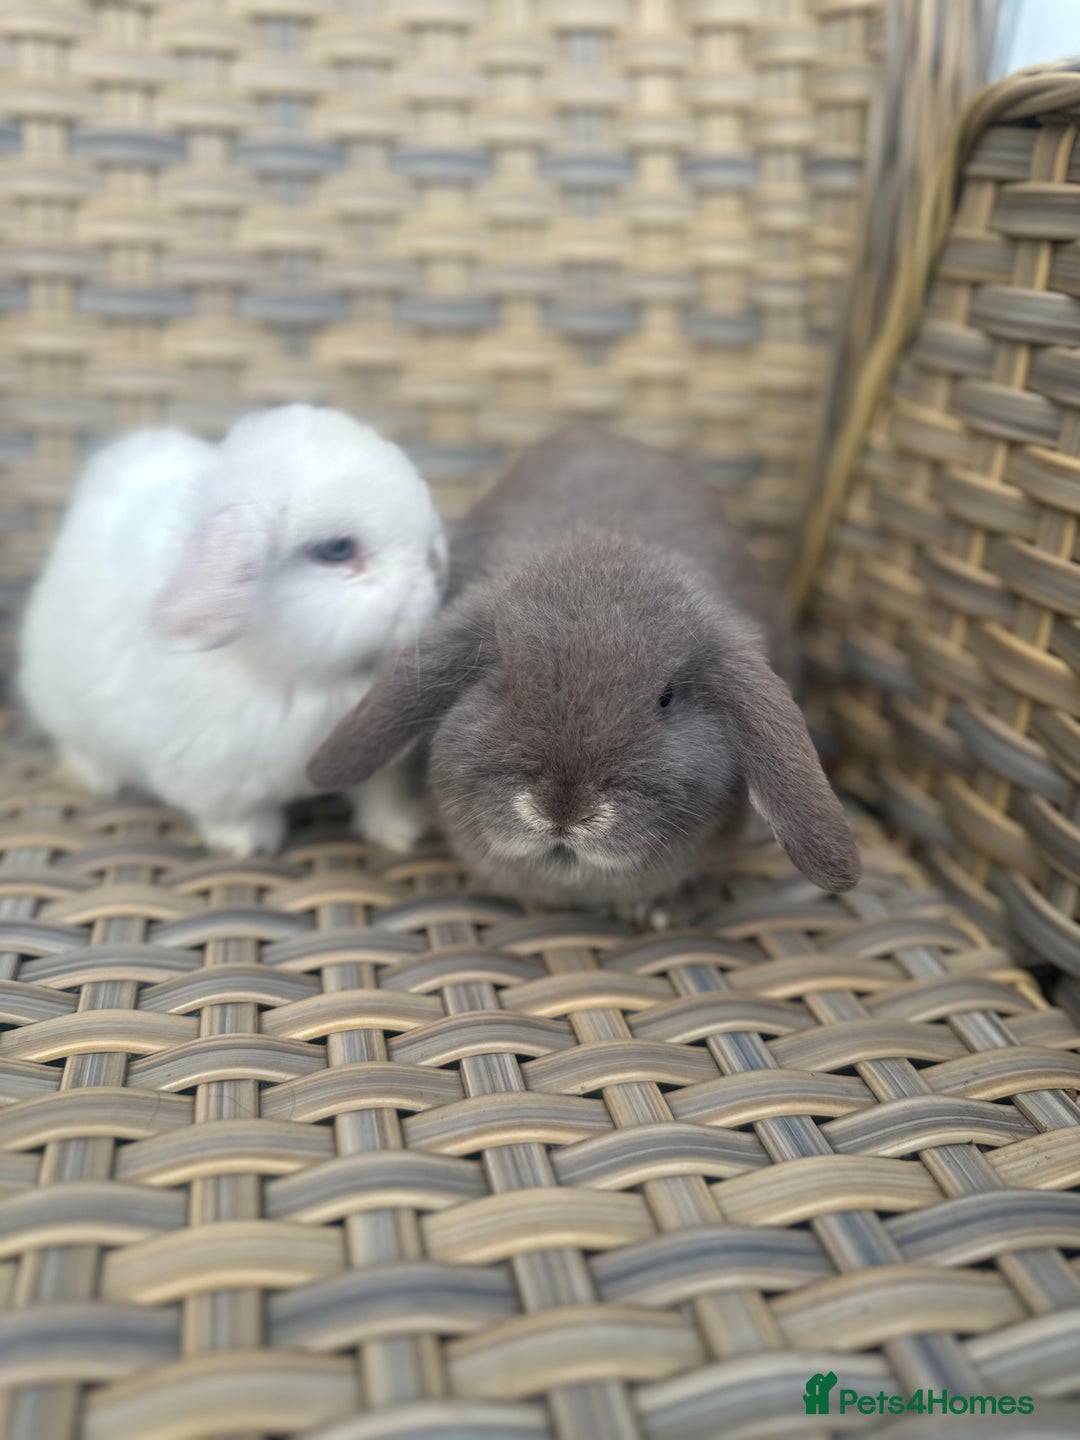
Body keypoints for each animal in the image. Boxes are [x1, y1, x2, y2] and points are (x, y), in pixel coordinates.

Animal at [19, 405, 447, 857]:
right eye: (336, 549)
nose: (438, 570)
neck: (307, 678)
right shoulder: (216, 779)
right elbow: (238, 814)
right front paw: (248, 845)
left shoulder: (382, 759)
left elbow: (382, 796)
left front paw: (403, 833)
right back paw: (96, 779)